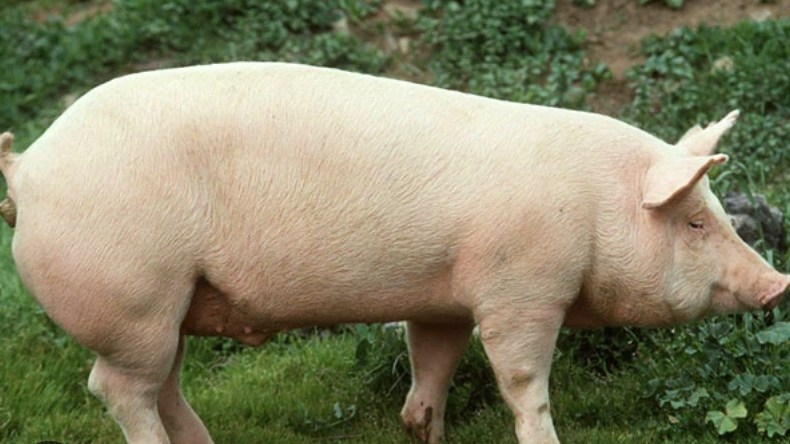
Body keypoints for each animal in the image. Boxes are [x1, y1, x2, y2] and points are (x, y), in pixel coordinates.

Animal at [0, 62, 787, 444]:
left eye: (719, 215)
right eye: (694, 222)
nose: (779, 283)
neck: (593, 205)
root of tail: (30, 166)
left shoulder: (443, 297)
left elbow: (429, 367)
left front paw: (423, 431)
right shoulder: (523, 291)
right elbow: (523, 381)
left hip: (169, 305)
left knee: (160, 384)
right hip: (132, 296)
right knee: (117, 389)